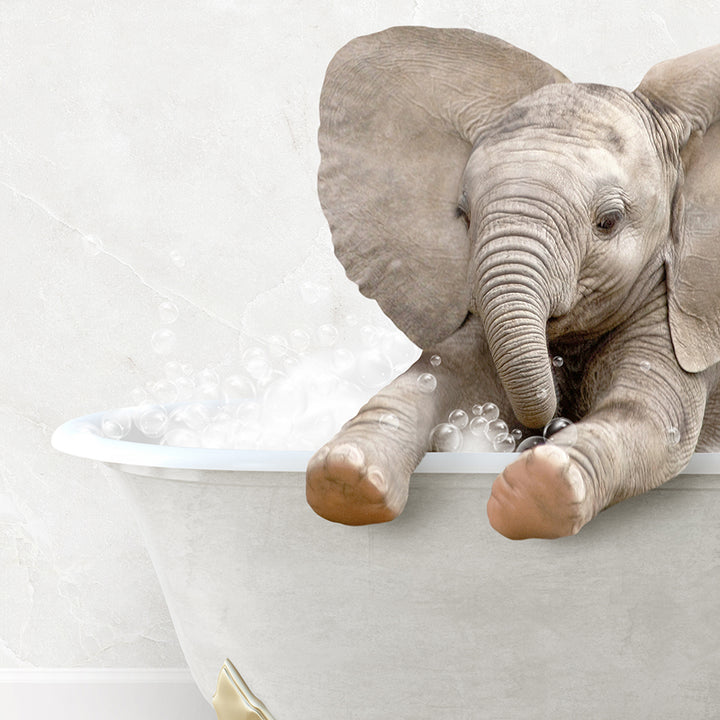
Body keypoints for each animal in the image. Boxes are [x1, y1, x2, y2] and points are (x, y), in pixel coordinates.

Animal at [306, 26, 720, 540]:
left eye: (608, 222)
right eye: (463, 216)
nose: (545, 429)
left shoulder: (685, 311)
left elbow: (651, 420)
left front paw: (536, 490)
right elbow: (438, 377)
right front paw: (344, 476)